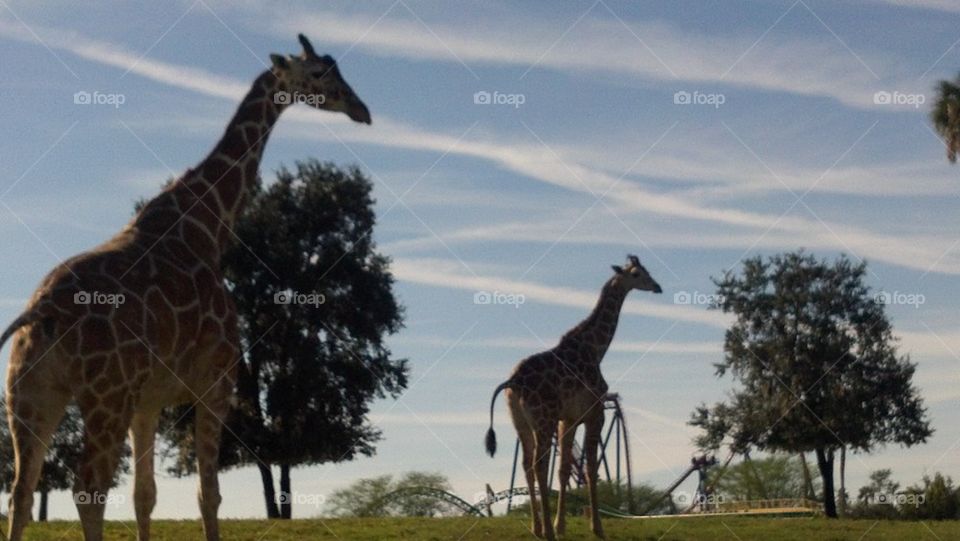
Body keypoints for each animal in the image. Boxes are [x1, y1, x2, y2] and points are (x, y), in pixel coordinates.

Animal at [0, 34, 370, 541]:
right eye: (319, 74)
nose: (360, 109)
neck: (209, 227)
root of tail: (43, 312)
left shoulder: (149, 400)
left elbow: (145, 496)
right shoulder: (216, 382)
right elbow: (207, 494)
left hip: (31, 393)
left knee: (21, 491)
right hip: (104, 396)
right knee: (87, 487)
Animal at [485, 255, 662, 540]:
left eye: (646, 271)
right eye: (636, 274)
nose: (657, 287)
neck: (595, 349)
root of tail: (513, 382)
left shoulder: (567, 419)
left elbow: (564, 469)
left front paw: (562, 526)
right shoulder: (595, 413)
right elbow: (590, 469)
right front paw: (597, 528)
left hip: (521, 423)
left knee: (527, 465)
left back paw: (538, 527)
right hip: (543, 420)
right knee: (538, 464)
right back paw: (546, 530)